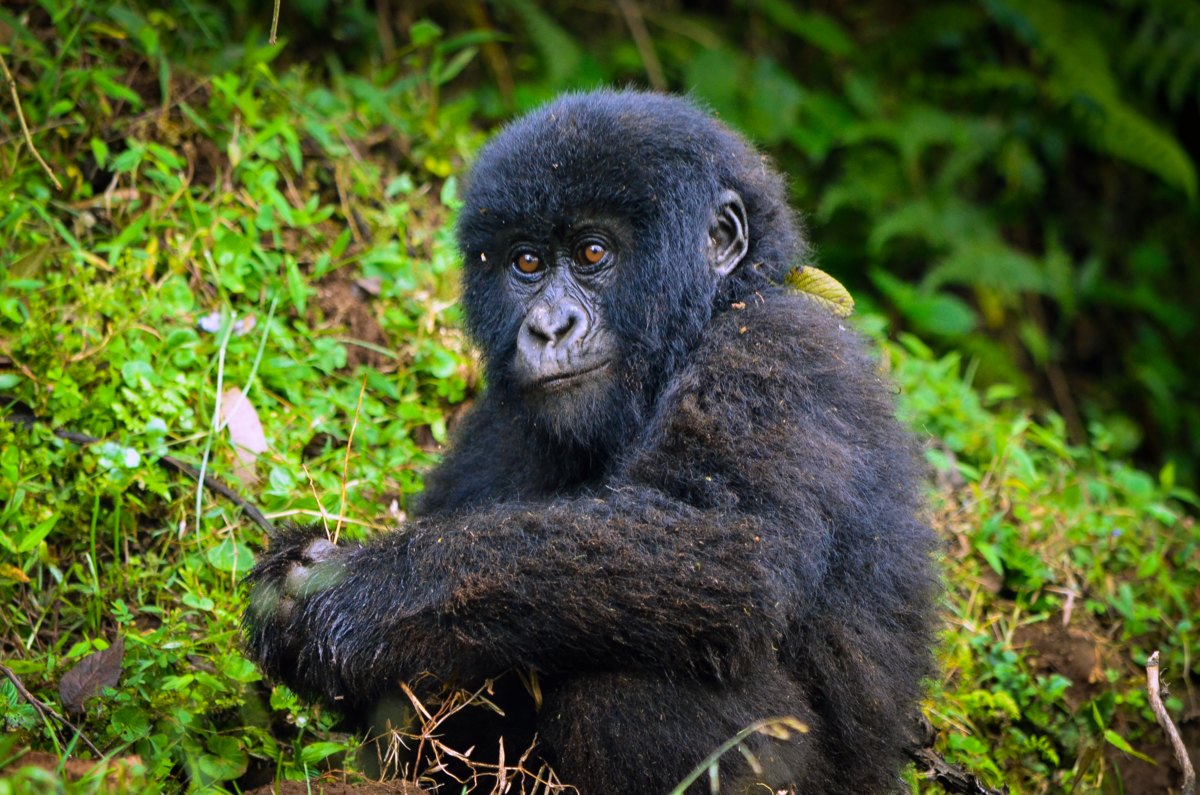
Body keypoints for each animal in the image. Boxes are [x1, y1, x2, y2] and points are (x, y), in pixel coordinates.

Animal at [241, 90, 936, 792]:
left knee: (626, 683)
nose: (550, 327)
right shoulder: (504, 417)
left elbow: (728, 544)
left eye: (593, 254)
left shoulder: (777, 348)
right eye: (526, 262)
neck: (721, 302)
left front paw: (351, 595)